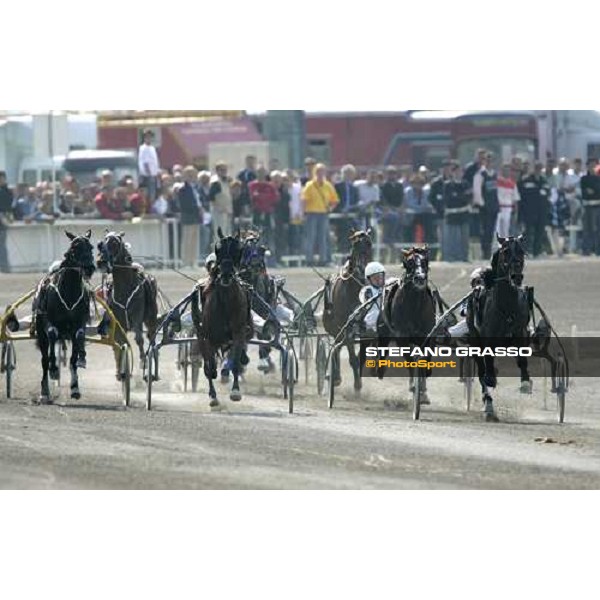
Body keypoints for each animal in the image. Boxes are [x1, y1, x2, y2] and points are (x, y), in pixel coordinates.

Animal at [32, 232, 95, 406]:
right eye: (74, 247)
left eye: (91, 247)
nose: (89, 267)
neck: (69, 293)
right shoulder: (49, 322)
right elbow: (52, 335)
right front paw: (54, 370)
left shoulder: (78, 325)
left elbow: (75, 353)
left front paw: (75, 388)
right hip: (40, 332)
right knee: (44, 359)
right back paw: (45, 392)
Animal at [96, 231, 158, 376]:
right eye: (102, 242)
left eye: (114, 242)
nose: (101, 261)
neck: (125, 288)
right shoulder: (117, 321)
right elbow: (119, 342)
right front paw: (121, 370)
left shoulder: (137, 316)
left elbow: (139, 339)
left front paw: (143, 362)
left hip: (151, 318)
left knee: (151, 335)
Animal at [192, 229, 253, 408]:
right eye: (218, 249)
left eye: (238, 250)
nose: (225, 274)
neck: (225, 301)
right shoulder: (208, 336)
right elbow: (209, 367)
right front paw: (213, 396)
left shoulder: (238, 332)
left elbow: (235, 361)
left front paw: (235, 392)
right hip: (201, 335)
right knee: (208, 364)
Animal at [322, 227, 372, 392]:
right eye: (354, 244)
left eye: (369, 243)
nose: (362, 270)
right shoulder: (346, 326)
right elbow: (352, 358)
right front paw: (357, 385)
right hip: (333, 327)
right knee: (336, 348)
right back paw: (335, 377)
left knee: (339, 346)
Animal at [466, 234, 532, 422]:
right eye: (505, 251)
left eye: (521, 251)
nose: (516, 276)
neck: (506, 307)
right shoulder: (487, 339)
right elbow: (487, 373)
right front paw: (491, 380)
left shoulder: (520, 333)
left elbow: (522, 360)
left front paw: (526, 384)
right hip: (474, 341)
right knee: (482, 372)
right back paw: (488, 406)